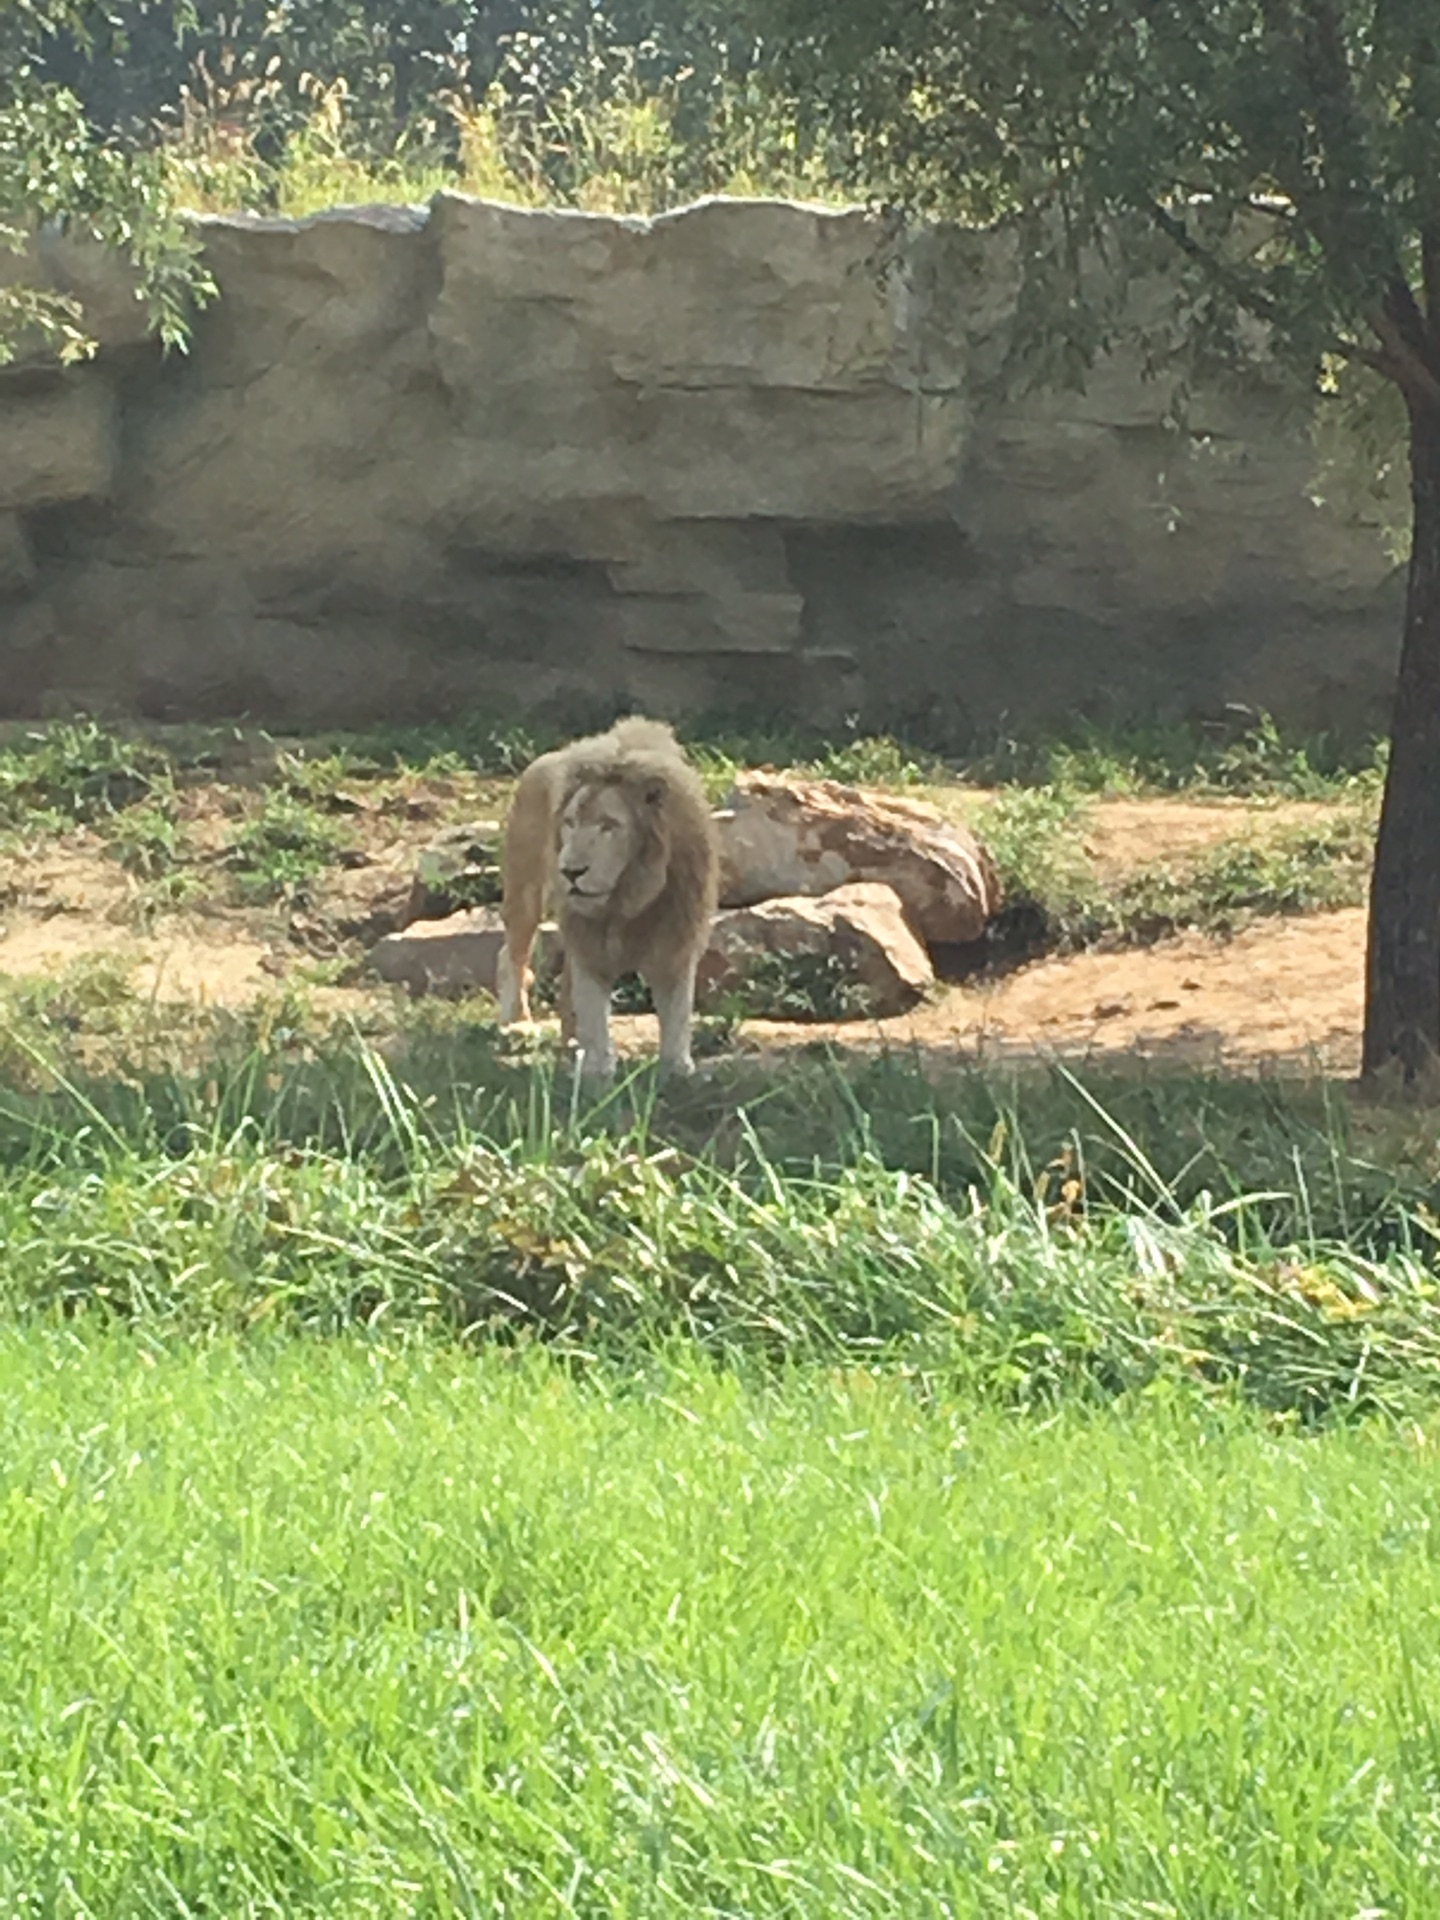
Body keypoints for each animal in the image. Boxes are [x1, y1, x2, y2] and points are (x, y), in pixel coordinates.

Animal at [495, 718, 721, 1082]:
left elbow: (677, 1007)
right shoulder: (589, 940)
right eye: (570, 823)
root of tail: (540, 760)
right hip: (525, 892)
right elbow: (592, 1006)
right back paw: (516, 1024)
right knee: (512, 955)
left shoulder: (677, 936)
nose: (570, 871)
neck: (627, 897)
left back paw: (569, 1040)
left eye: (608, 826)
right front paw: (598, 1069)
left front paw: (677, 1068)